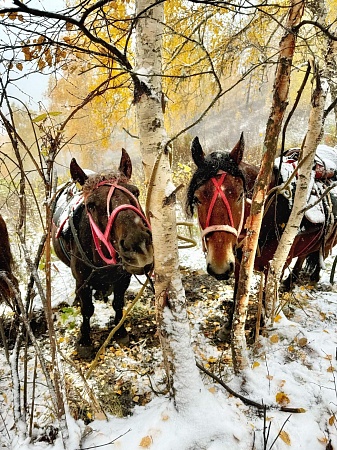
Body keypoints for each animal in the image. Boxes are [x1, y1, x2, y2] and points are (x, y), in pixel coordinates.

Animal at [51, 149, 152, 354]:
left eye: (135, 192)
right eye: (91, 205)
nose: (139, 246)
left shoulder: (123, 277)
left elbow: (118, 302)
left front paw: (120, 331)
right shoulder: (83, 281)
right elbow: (87, 309)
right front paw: (84, 341)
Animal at [185, 132, 336, 302]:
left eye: (240, 195)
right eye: (197, 198)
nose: (219, 265)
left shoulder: (277, 267)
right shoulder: (239, 263)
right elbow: (238, 295)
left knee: (320, 254)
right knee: (304, 254)